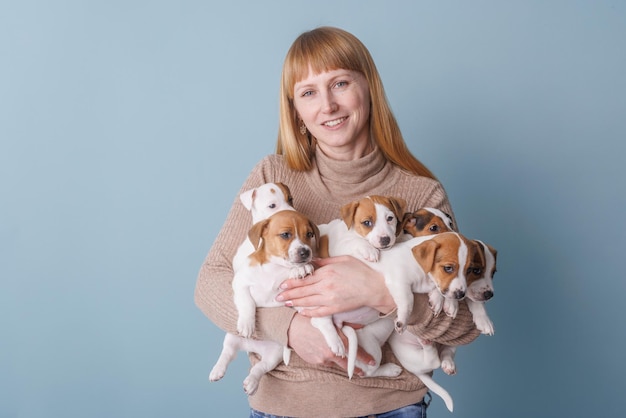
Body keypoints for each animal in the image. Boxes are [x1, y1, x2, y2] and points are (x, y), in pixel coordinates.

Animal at [210, 211, 316, 396]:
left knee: (259, 368)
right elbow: (248, 303)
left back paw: (251, 383)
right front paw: (247, 324)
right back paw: (217, 370)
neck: (274, 268)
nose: (305, 252)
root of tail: (253, 347)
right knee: (227, 354)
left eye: (309, 234)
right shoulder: (240, 284)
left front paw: (300, 269)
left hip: (273, 355)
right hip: (231, 337)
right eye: (285, 234)